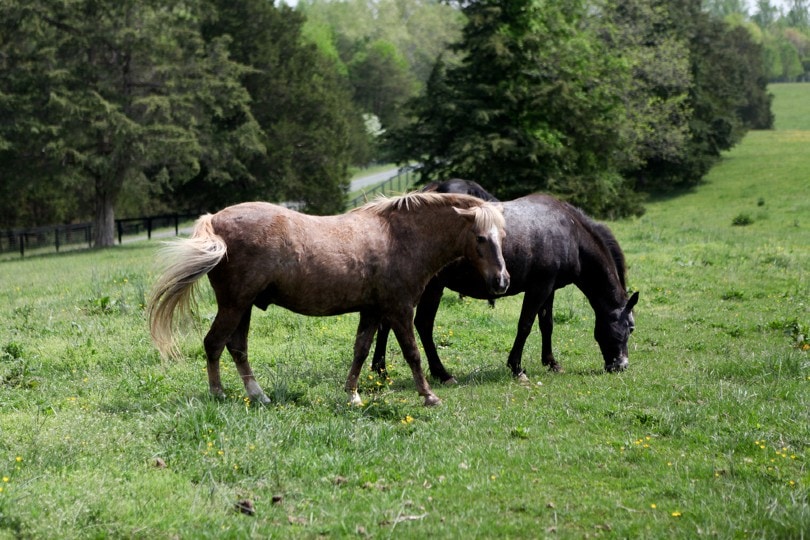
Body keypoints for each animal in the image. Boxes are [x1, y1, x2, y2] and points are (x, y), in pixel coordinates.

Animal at [147, 192, 510, 407]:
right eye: (480, 238)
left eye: (501, 236)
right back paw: (218, 394)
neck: (398, 238)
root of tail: (215, 220)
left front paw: (353, 395)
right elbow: (412, 353)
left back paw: (258, 395)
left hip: (243, 307)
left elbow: (360, 351)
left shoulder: (372, 311)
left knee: (237, 348)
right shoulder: (399, 309)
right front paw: (429, 395)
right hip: (234, 305)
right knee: (214, 343)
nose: (502, 281)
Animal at [372, 184, 638, 383]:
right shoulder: (539, 287)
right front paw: (516, 367)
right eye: (630, 327)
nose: (621, 365)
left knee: (386, 323)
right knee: (423, 324)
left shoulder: (549, 288)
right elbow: (525, 325)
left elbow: (547, 324)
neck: (569, 231)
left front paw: (551, 362)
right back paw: (441, 373)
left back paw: (380, 369)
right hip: (432, 287)